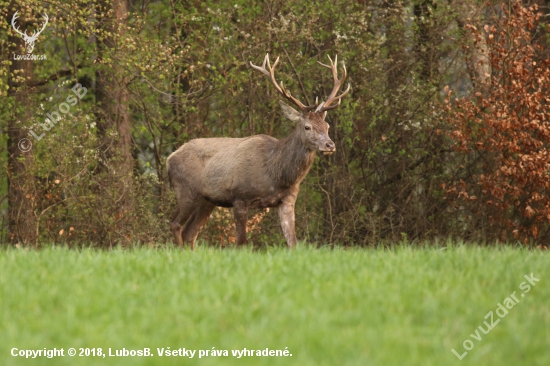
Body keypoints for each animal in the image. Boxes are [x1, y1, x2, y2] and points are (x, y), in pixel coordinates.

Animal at [166, 53, 352, 249]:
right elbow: (241, 243)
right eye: (307, 127)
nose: (330, 145)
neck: (276, 174)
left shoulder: (288, 200)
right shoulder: (239, 197)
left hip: (207, 200)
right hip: (186, 189)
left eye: (327, 125)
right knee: (175, 224)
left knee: (190, 233)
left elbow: (293, 243)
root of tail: (169, 158)